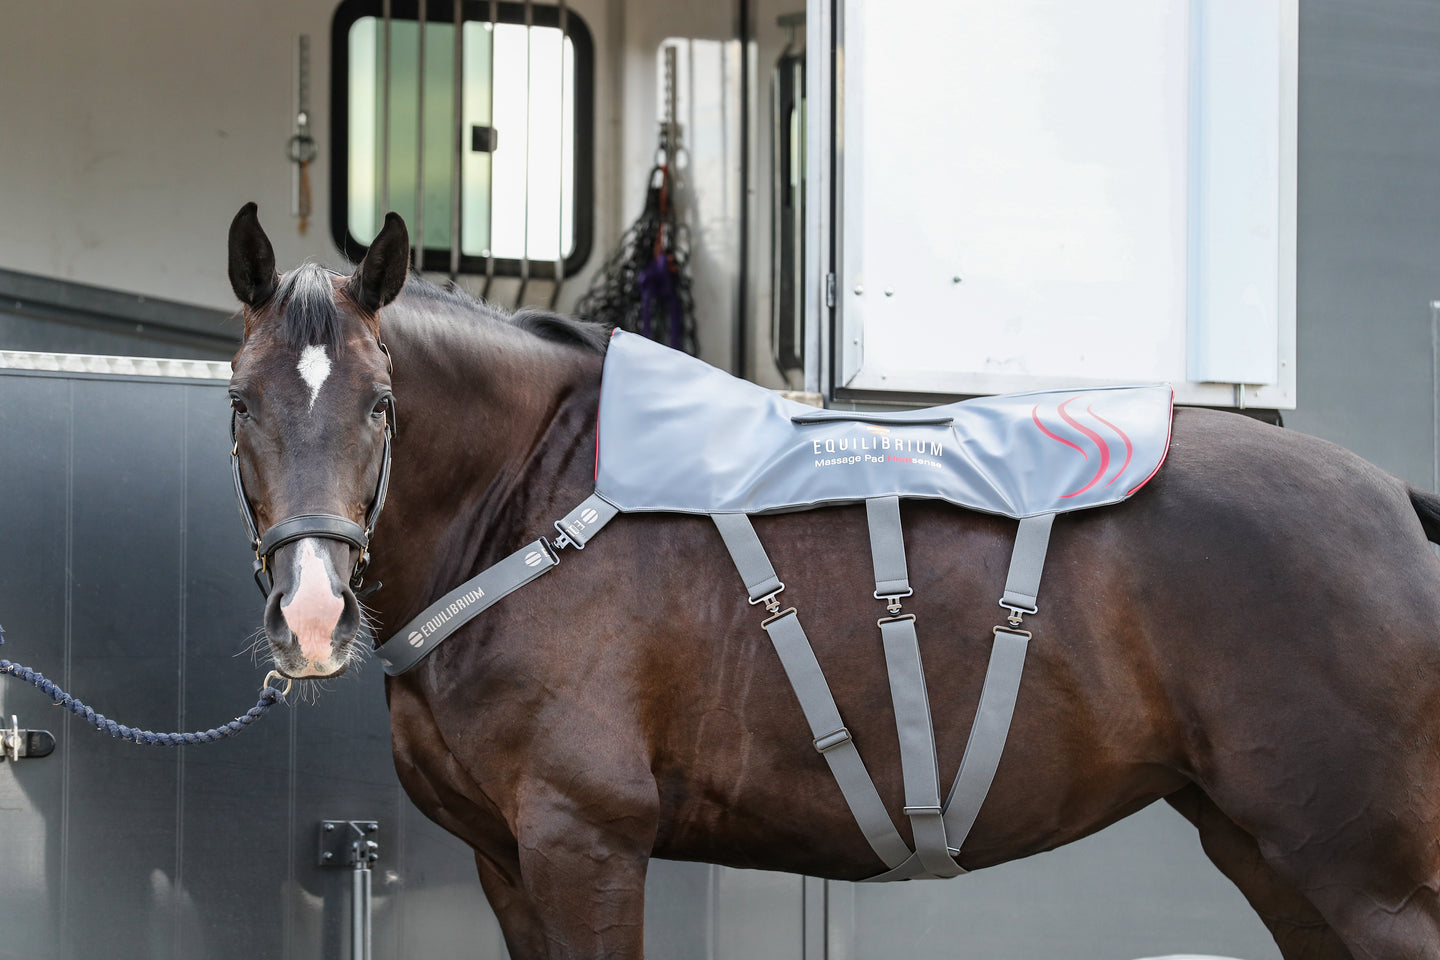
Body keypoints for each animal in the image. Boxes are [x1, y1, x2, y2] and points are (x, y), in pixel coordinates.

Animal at [227, 202, 1440, 960]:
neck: (535, 500)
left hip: (1364, 873)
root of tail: (1391, 497)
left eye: (382, 405)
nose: (312, 615)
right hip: (1268, 850)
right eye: (240, 401)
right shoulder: (506, 864)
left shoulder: (586, 843)